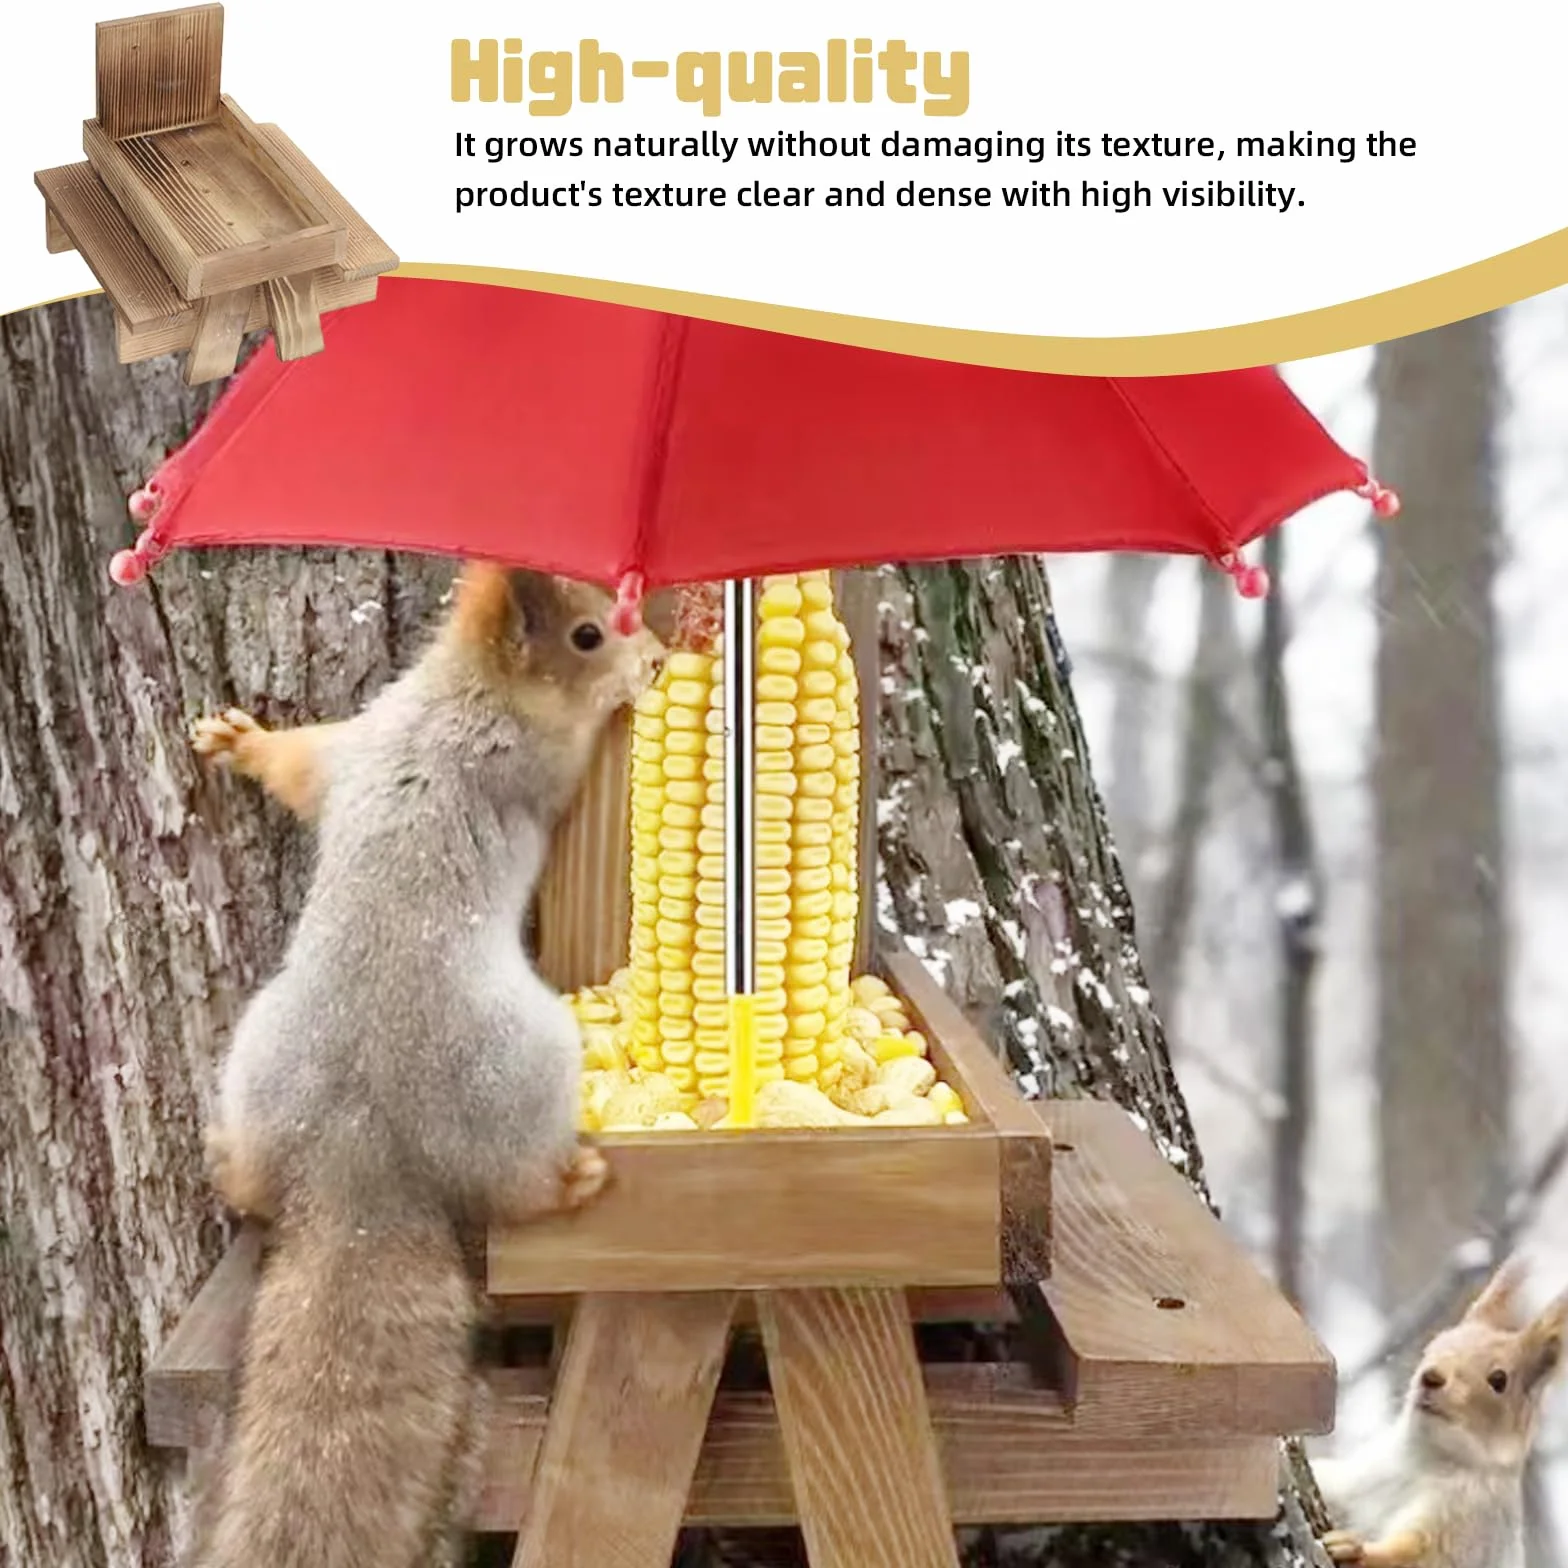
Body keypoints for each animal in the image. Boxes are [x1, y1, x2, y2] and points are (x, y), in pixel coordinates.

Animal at [184, 563, 664, 1568]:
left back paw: (229, 1164)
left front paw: (238, 740)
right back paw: (570, 1181)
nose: (657, 652)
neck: (460, 694)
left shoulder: (356, 744)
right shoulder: (529, 759)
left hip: (257, 1052)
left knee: (253, 1178)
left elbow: (300, 765)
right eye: (587, 635)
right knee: (512, 1189)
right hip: (524, 1067)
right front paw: (629, 693)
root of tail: (358, 1148)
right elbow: (569, 757)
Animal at [1314, 1257, 1568, 1568]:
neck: (1426, 1459)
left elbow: (1420, 1557)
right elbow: (1333, 1484)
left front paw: (1355, 1551)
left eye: (1499, 1380)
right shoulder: (1362, 1477)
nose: (1431, 1376)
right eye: (1434, 1345)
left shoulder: (1470, 1524)